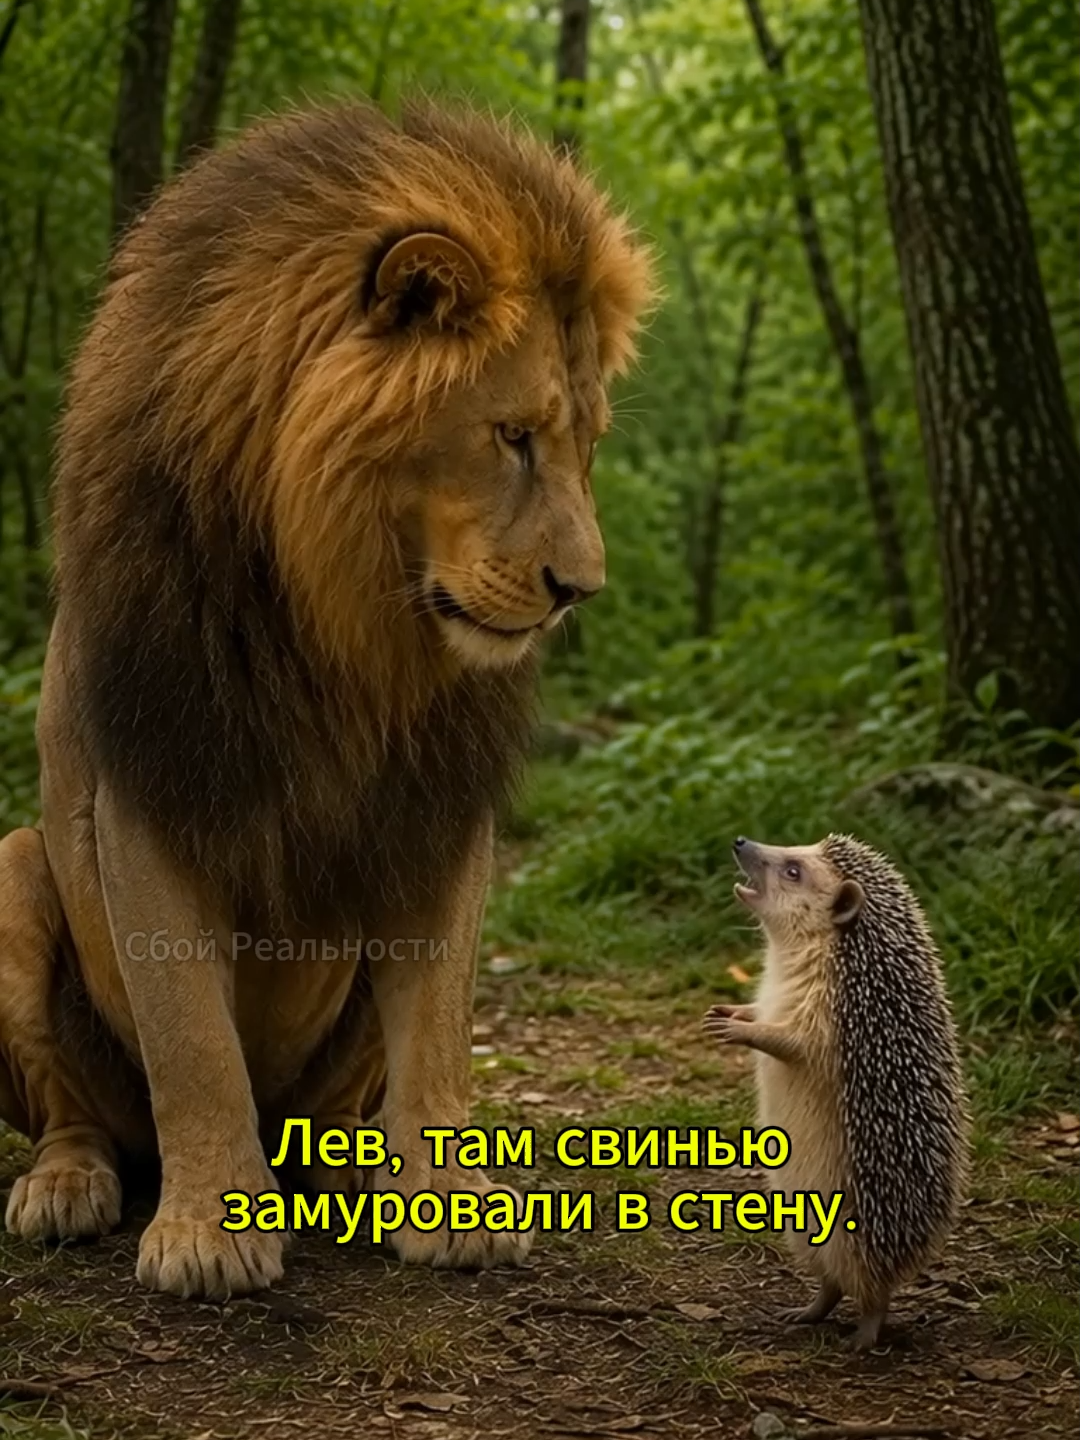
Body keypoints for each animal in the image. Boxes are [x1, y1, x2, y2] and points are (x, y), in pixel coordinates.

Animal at [0, 100, 654, 1299]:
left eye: (587, 445)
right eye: (513, 435)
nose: (578, 591)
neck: (345, 618)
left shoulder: (434, 811)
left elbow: (438, 1031)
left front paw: (447, 1204)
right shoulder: (153, 784)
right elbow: (193, 1043)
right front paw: (209, 1233)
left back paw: (348, 1173)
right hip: (15, 868)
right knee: (78, 1111)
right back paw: (67, 1185)